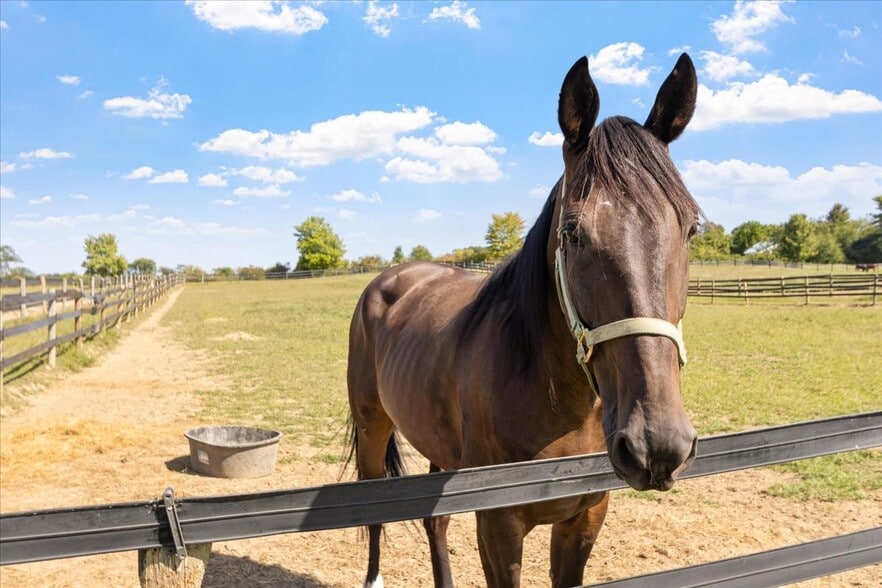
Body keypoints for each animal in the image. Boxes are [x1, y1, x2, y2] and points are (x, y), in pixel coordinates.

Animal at [346, 53, 701, 588]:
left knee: (434, 522)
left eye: (690, 228)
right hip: (373, 425)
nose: (656, 444)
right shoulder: (498, 526)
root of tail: (389, 279)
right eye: (573, 232)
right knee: (375, 514)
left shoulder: (586, 517)